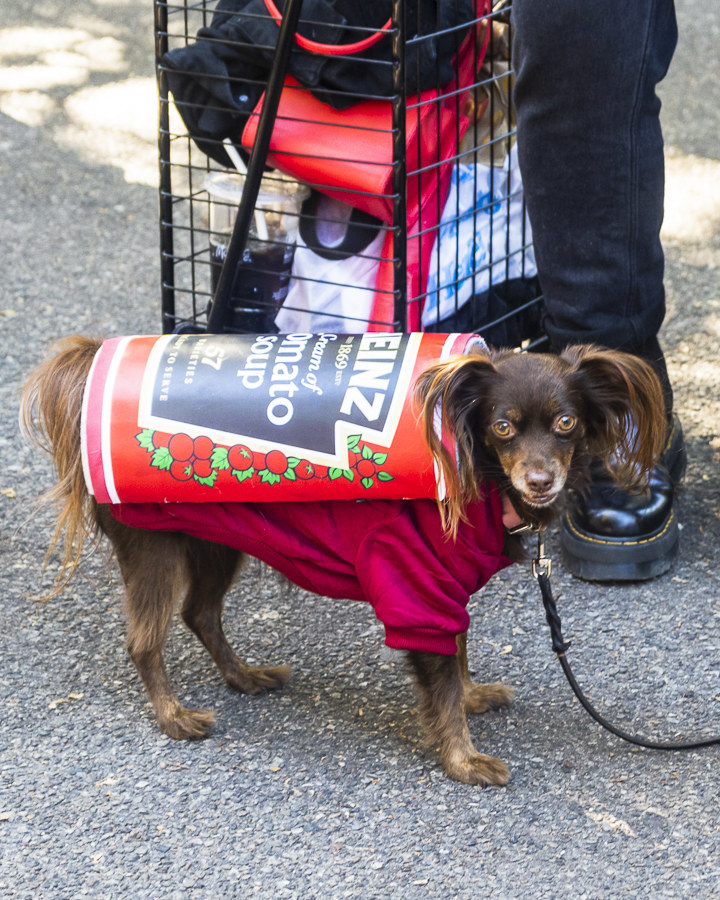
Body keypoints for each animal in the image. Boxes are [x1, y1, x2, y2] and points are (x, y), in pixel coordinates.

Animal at [19, 338, 668, 788]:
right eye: (502, 427)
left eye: (567, 423)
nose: (539, 479)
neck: (479, 479)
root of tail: (86, 374)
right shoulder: (416, 588)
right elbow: (440, 679)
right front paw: (462, 759)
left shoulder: (444, 591)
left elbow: (458, 652)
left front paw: (471, 695)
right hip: (153, 548)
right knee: (145, 640)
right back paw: (174, 716)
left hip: (216, 543)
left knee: (200, 613)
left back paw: (243, 677)